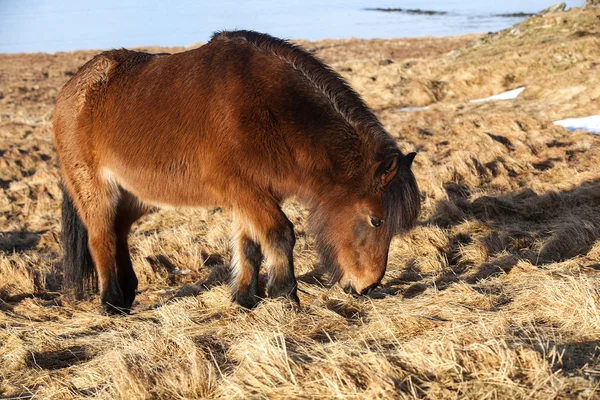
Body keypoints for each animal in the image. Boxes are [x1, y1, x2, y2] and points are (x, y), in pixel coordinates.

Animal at [54, 29, 420, 314]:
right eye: (376, 220)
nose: (367, 286)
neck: (270, 108)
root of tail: (73, 88)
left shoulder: (251, 193)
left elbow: (250, 244)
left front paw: (245, 298)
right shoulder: (245, 190)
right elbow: (279, 235)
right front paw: (286, 296)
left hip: (135, 195)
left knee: (119, 233)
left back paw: (127, 293)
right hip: (95, 190)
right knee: (101, 237)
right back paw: (111, 303)